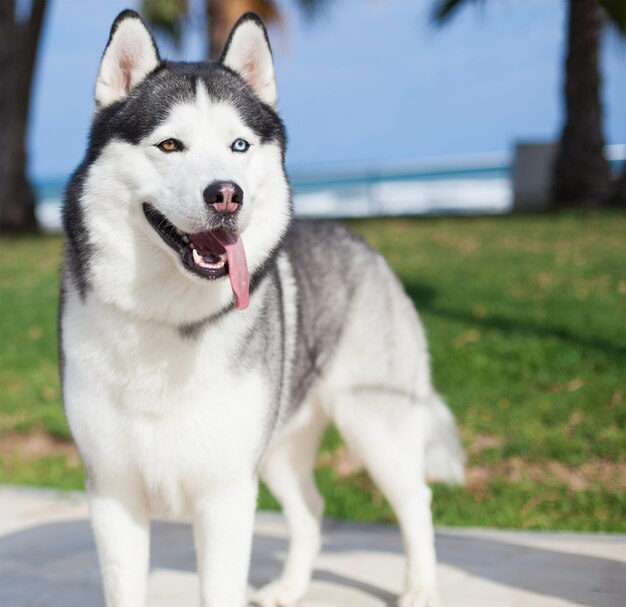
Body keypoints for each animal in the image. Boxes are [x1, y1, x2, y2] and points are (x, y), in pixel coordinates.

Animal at [61, 9, 464, 607]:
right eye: (170, 145)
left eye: (239, 146)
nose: (226, 194)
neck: (170, 316)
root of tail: (357, 238)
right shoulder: (113, 493)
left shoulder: (226, 494)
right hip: (279, 445)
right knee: (313, 510)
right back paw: (290, 587)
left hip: (374, 423)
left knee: (416, 499)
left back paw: (419, 588)